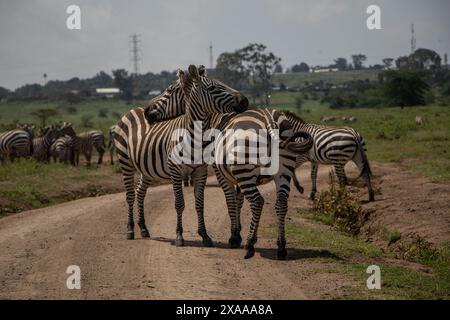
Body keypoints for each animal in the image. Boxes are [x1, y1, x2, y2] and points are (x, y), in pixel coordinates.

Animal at [114, 65, 248, 245]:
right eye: (213, 88)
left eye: (170, 90)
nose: (244, 101)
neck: (196, 134)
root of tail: (133, 110)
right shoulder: (175, 171)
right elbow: (179, 204)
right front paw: (179, 236)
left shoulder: (200, 171)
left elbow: (200, 204)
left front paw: (205, 235)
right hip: (125, 162)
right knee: (129, 195)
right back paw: (130, 230)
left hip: (146, 168)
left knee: (140, 192)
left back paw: (143, 228)